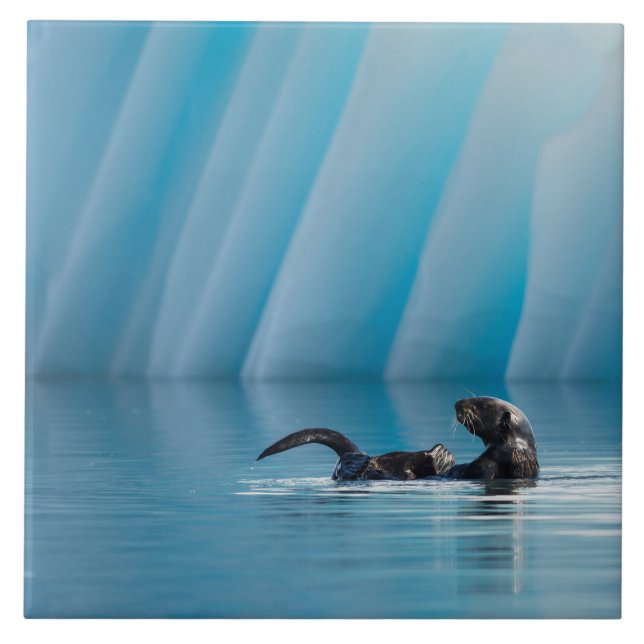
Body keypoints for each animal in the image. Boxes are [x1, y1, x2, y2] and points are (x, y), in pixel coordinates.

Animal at [256, 397, 539, 481]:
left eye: (480, 404)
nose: (458, 402)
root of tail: (353, 454)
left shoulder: (487, 464)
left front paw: (444, 458)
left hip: (364, 467)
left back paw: (438, 453)